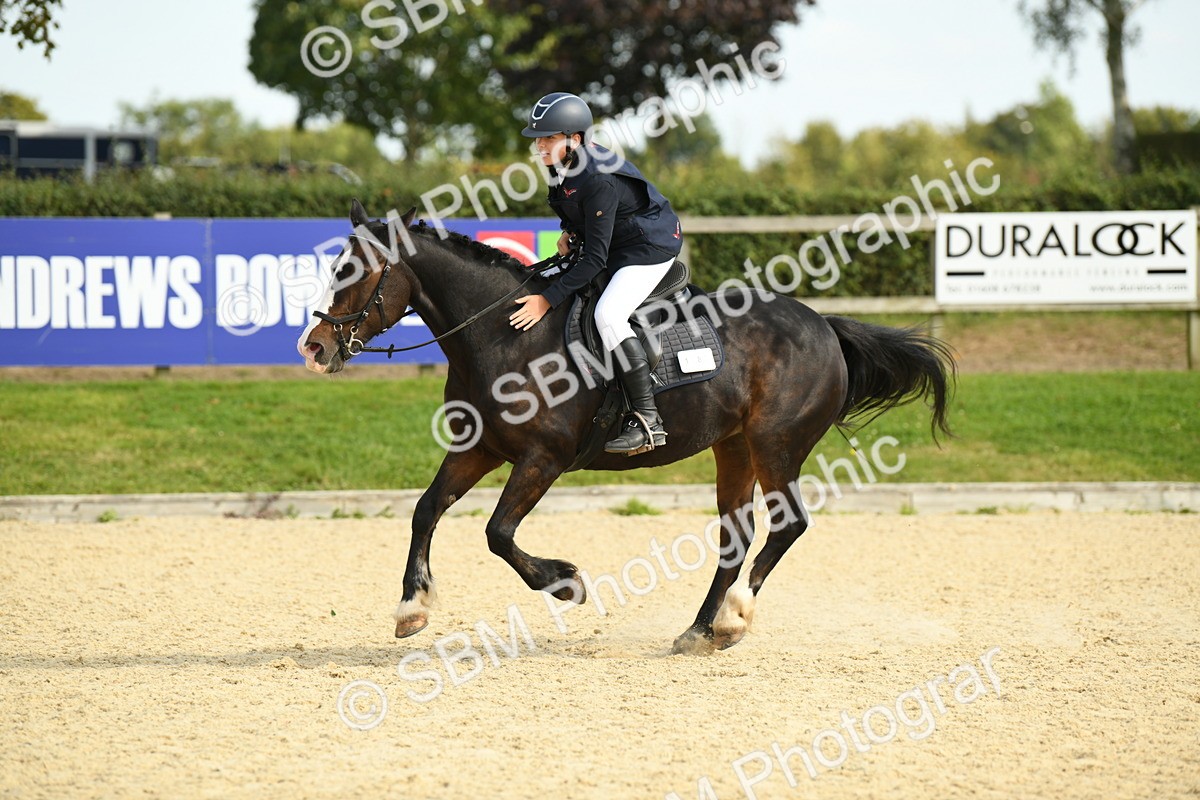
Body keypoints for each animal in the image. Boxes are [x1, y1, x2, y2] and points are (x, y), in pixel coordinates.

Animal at [298, 200, 955, 655]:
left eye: (355, 273)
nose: (314, 348)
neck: (503, 335)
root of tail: (824, 326)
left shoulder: (543, 458)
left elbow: (498, 533)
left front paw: (565, 583)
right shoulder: (479, 447)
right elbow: (426, 509)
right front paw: (412, 608)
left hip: (776, 443)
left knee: (787, 524)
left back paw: (735, 616)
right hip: (735, 448)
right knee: (735, 537)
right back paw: (700, 631)